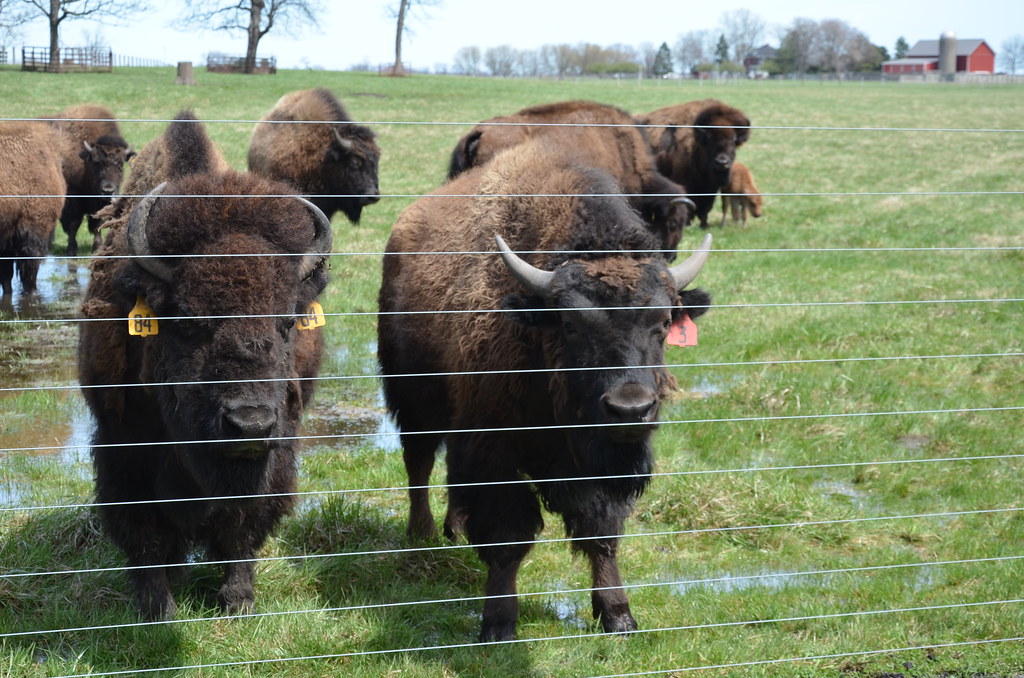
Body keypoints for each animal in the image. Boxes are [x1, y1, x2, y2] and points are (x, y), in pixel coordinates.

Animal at [46, 104, 134, 256]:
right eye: (96, 162)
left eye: (120, 164)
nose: (108, 190)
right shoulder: (72, 200)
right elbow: (73, 224)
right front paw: (72, 250)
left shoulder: (99, 204)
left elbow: (97, 223)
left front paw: (97, 248)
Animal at [79, 111, 332, 620]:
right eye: (189, 321)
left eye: (287, 322)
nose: (249, 425)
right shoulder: (123, 447)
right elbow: (145, 536)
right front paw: (157, 608)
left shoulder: (273, 455)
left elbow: (242, 528)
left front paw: (238, 600)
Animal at [378, 138, 712, 641]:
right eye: (571, 323)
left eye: (662, 321)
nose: (630, 409)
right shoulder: (492, 450)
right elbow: (507, 535)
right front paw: (498, 624)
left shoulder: (594, 467)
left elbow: (601, 532)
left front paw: (618, 615)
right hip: (413, 399)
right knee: (418, 463)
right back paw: (422, 535)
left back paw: (453, 528)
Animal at [638, 98, 751, 229]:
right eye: (710, 138)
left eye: (733, 140)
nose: (722, 162)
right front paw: (687, 223)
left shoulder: (710, 188)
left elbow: (706, 208)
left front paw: (704, 224)